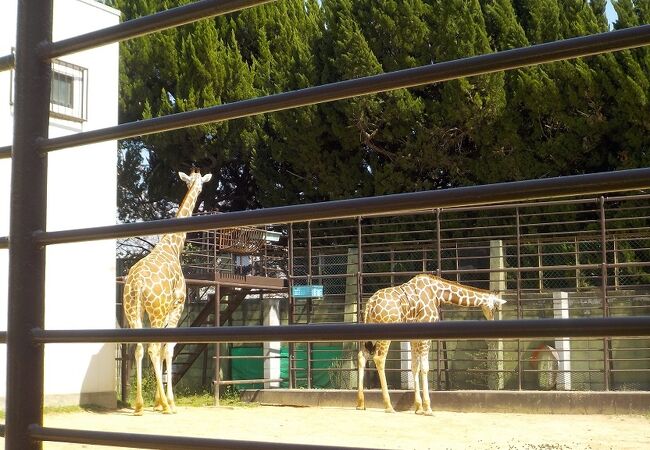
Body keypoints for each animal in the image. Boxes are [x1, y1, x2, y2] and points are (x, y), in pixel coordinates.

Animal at [121, 169, 210, 414]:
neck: (172, 246)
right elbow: (167, 348)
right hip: (157, 311)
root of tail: (138, 284)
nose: (199, 190)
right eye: (199, 184)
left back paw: (139, 405)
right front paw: (167, 401)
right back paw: (166, 406)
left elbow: (160, 349)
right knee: (152, 348)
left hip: (134, 311)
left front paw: (156, 401)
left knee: (139, 349)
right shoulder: (177, 306)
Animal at [354, 270, 506, 414]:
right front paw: (428, 408)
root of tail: (370, 304)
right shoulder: (425, 334)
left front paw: (419, 408)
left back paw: (360, 404)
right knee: (379, 358)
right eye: (495, 308)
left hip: (369, 332)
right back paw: (388, 406)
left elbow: (415, 366)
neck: (437, 293)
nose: (493, 320)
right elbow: (425, 367)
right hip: (385, 333)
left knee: (362, 356)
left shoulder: (414, 337)